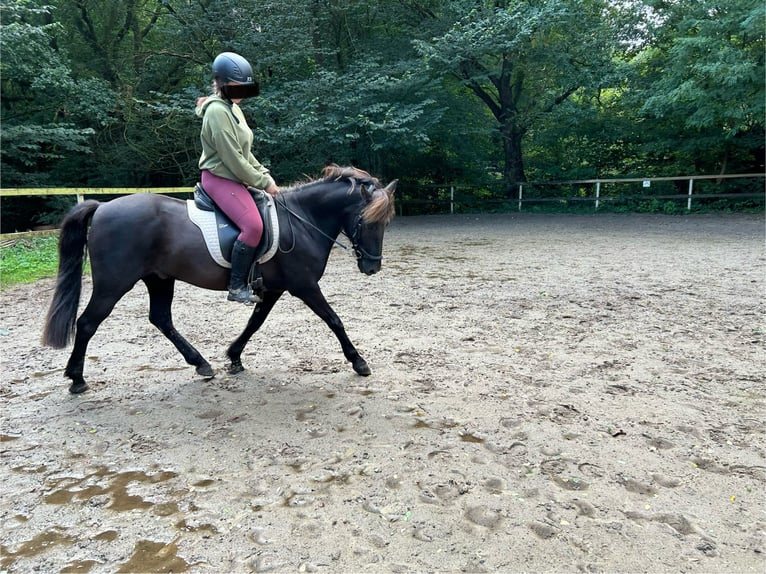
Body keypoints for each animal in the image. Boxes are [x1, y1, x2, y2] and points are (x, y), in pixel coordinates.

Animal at [42, 164, 400, 394]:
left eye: (386, 223)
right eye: (367, 221)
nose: (372, 268)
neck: (302, 221)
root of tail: (102, 207)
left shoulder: (273, 289)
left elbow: (255, 323)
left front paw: (234, 357)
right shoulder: (304, 286)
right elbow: (334, 319)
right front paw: (359, 362)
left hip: (159, 279)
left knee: (161, 319)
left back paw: (201, 364)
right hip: (113, 284)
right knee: (88, 323)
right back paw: (76, 379)